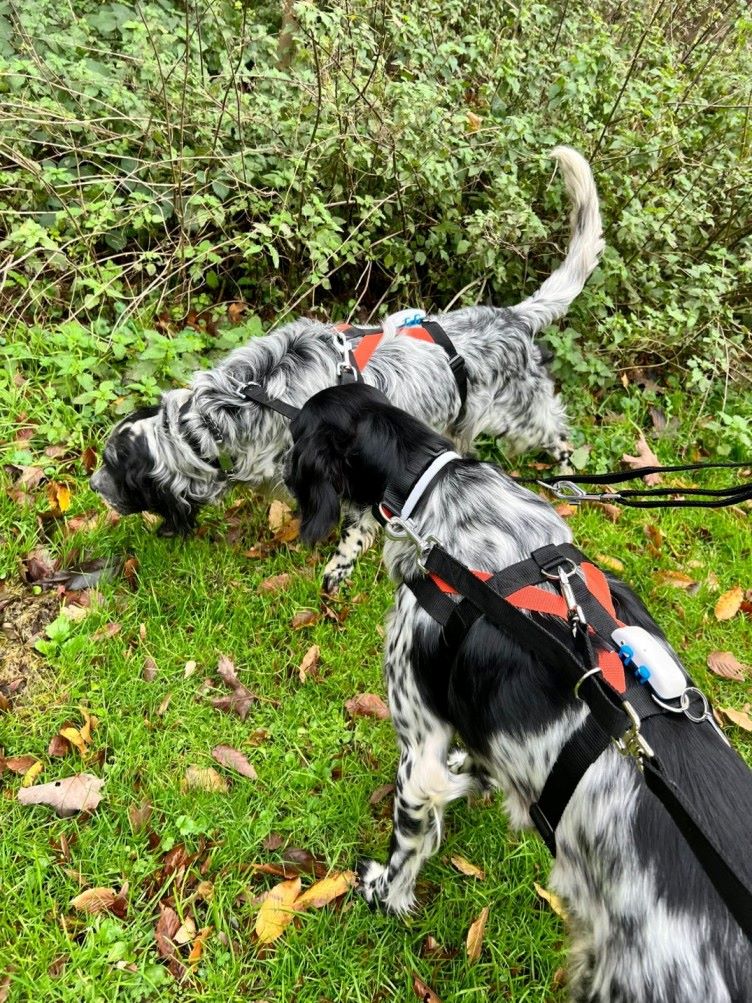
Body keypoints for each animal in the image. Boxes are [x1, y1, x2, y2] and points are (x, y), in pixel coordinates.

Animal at [89, 145, 605, 589]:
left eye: (115, 467)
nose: (92, 486)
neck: (246, 400)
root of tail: (513, 317)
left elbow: (353, 530)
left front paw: (338, 567)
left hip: (523, 419)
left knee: (557, 432)